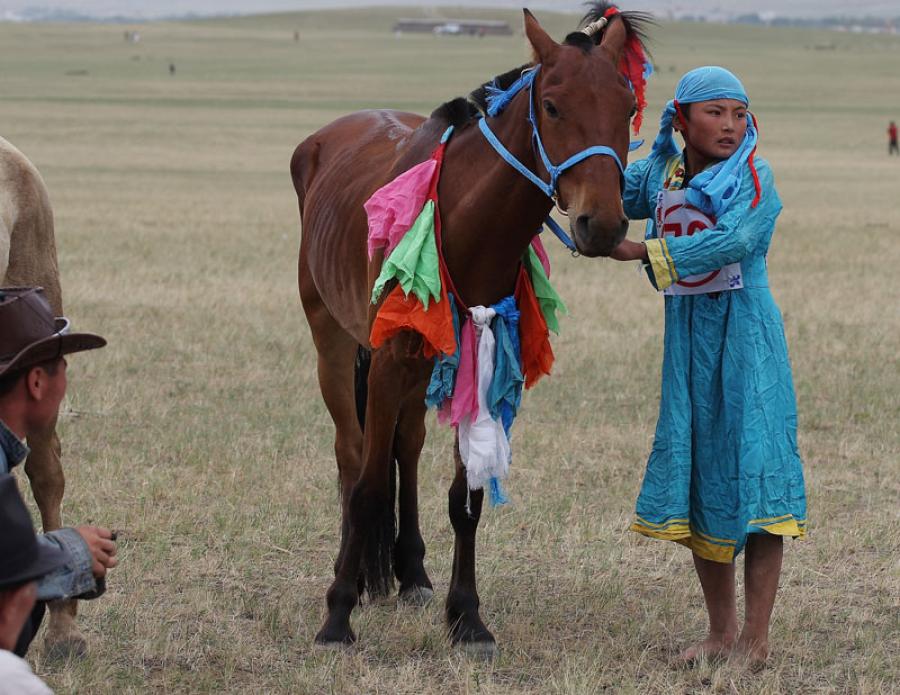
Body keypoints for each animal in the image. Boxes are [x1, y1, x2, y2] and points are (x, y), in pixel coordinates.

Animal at [292, 5, 652, 656]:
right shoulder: (387, 361)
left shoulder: (481, 358)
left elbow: (467, 499)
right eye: (553, 105)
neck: (466, 220)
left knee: (406, 449)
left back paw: (410, 573)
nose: (604, 224)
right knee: (352, 454)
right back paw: (352, 576)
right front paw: (337, 616)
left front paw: (466, 616)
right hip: (332, 340)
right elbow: (367, 489)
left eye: (626, 106)